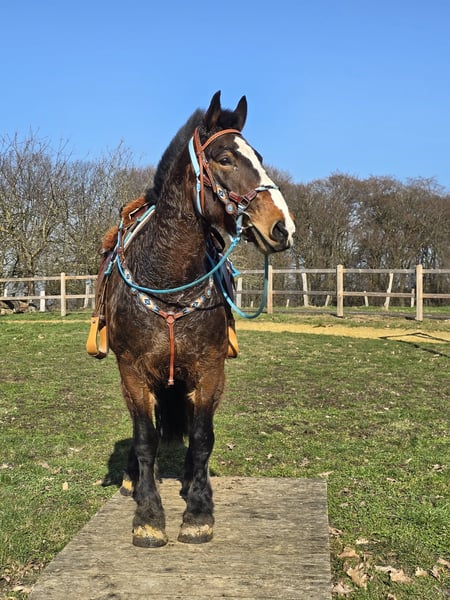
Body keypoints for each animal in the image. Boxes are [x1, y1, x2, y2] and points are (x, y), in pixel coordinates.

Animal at [101, 91, 295, 547]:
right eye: (225, 159)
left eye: (259, 157)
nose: (282, 227)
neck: (168, 286)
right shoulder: (132, 372)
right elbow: (145, 438)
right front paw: (149, 514)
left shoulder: (209, 370)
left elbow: (203, 436)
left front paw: (199, 511)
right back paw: (135, 480)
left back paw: (191, 482)